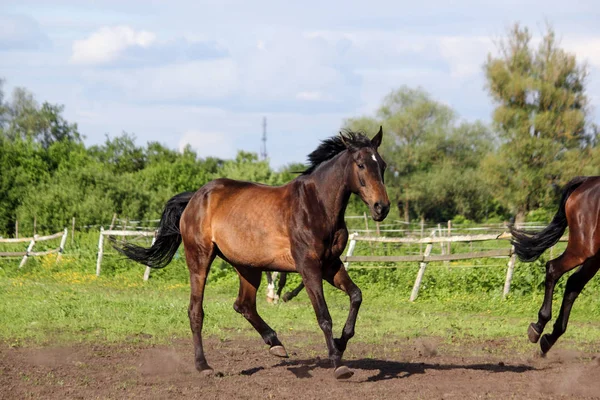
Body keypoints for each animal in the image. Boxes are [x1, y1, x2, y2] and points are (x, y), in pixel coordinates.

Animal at [113, 128, 390, 378]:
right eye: (360, 164)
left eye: (383, 165)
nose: (382, 208)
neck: (316, 205)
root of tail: (195, 198)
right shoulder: (308, 266)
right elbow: (323, 315)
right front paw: (337, 363)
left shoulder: (330, 264)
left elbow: (356, 296)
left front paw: (341, 343)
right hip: (199, 258)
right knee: (196, 311)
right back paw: (204, 366)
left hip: (248, 267)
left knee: (243, 304)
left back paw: (276, 344)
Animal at [510, 177, 600, 354]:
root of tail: (587, 181)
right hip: (584, 248)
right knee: (554, 269)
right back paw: (538, 328)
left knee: (574, 282)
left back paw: (549, 338)